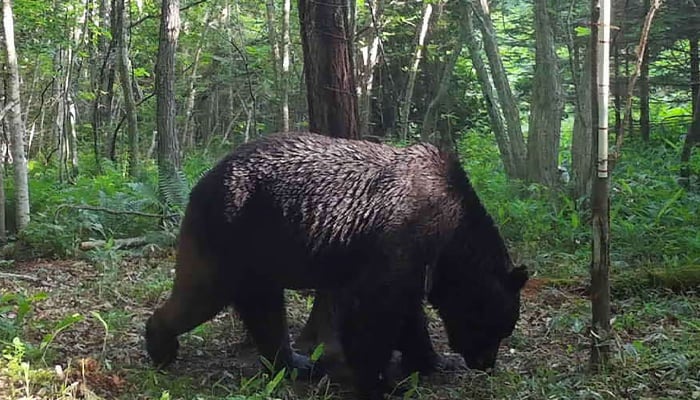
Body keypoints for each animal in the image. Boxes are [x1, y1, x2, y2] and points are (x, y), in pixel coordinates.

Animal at [146, 132, 532, 400]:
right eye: (497, 328)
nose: (486, 363)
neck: (451, 236)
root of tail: (203, 180)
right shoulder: (403, 236)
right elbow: (373, 311)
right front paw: (381, 383)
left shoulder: (415, 263)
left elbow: (408, 314)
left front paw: (433, 361)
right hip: (233, 232)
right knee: (203, 293)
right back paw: (160, 345)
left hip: (259, 253)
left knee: (264, 309)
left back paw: (295, 363)